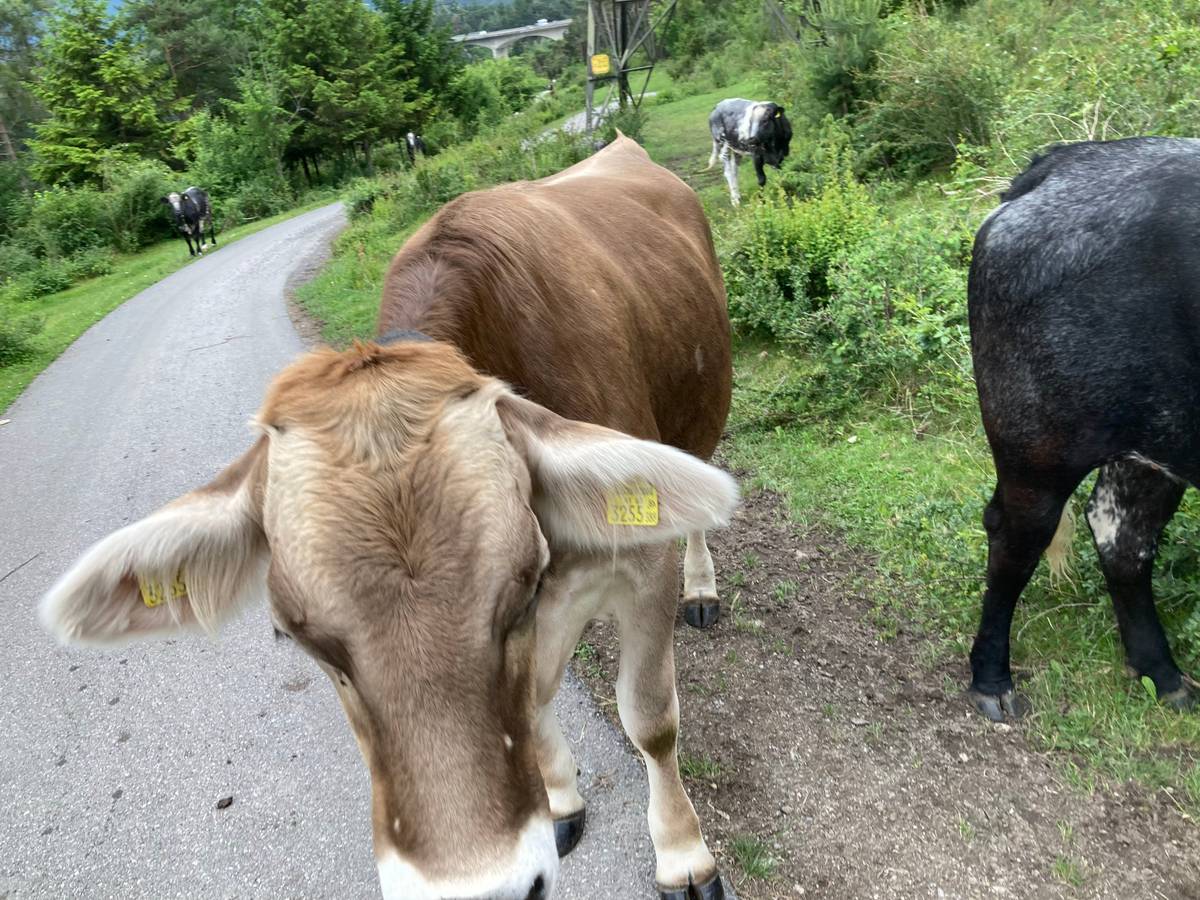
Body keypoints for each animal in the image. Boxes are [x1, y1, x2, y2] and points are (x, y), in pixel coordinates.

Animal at [42, 136, 738, 900]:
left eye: (523, 586)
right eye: (294, 636)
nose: (481, 889)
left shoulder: (637, 568)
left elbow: (650, 719)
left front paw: (683, 856)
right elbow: (533, 702)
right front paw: (560, 799)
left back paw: (702, 590)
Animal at [967, 137, 1200, 723]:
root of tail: (1065, 163)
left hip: (1155, 441)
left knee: (1123, 538)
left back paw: (1163, 674)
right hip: (1039, 450)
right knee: (1014, 537)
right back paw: (991, 678)